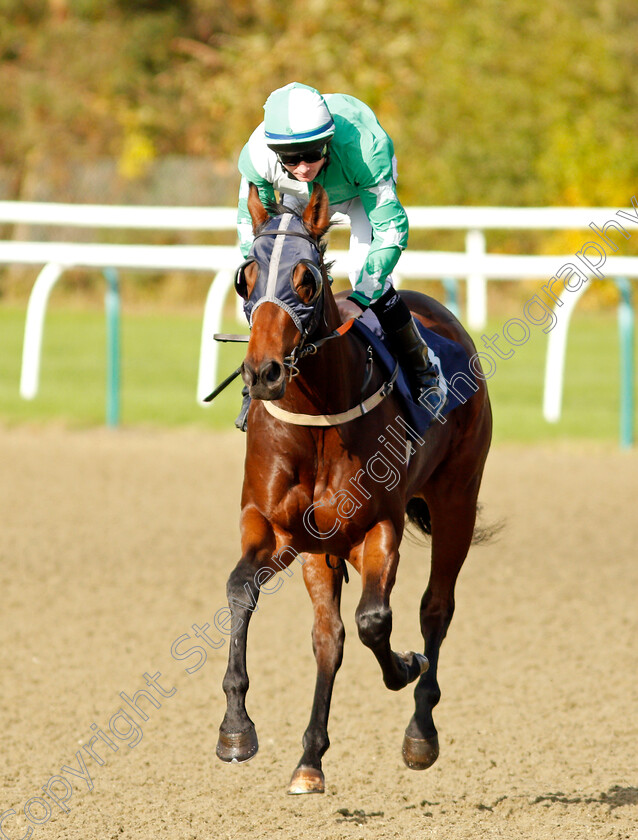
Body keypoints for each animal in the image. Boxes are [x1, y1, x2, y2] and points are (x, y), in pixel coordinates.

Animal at [218, 182, 492, 796]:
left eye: (306, 279)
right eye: (246, 278)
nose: (263, 373)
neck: (318, 418)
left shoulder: (378, 527)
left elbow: (377, 622)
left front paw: (405, 667)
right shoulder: (275, 528)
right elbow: (242, 591)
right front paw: (236, 728)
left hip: (457, 498)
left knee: (436, 608)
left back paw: (420, 732)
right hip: (322, 550)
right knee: (329, 637)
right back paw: (309, 759)